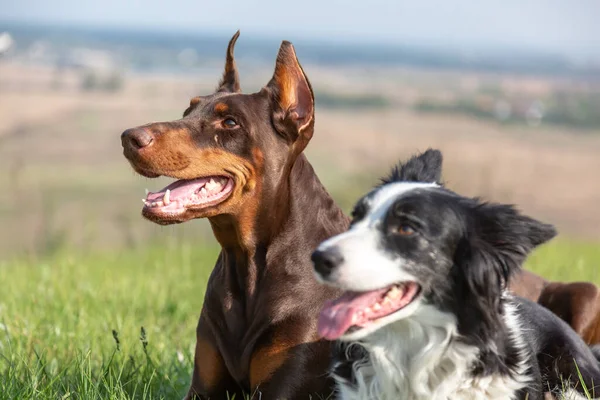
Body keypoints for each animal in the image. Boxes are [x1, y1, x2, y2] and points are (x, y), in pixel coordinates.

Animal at [120, 32, 596, 398]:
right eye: (188, 110)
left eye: (230, 123)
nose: (128, 137)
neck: (250, 266)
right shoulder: (204, 386)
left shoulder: (286, 387)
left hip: (584, 294)